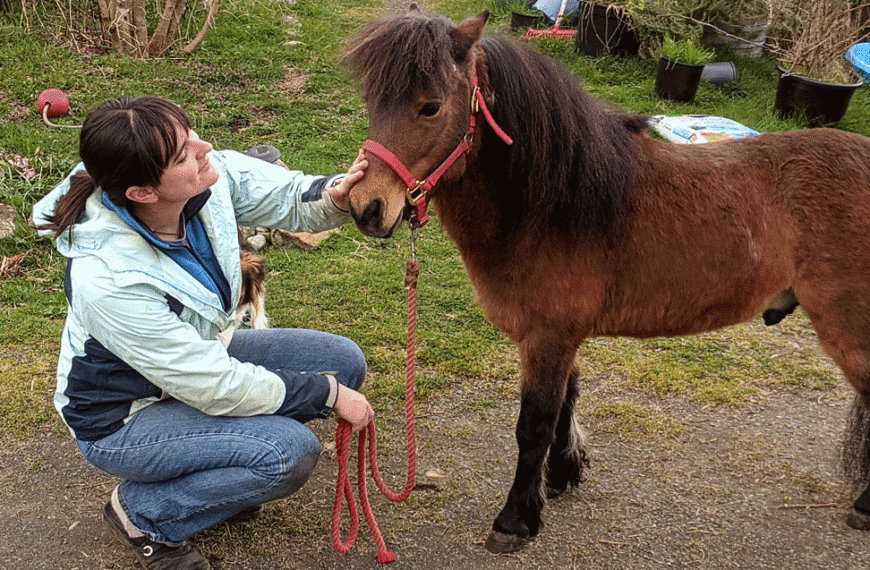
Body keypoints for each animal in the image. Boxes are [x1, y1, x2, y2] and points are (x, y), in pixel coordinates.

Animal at [344, 5, 870, 553]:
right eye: (373, 101)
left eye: (429, 107)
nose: (366, 208)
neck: (555, 201)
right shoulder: (560, 337)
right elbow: (565, 406)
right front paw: (559, 477)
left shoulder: (548, 336)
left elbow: (534, 425)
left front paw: (515, 519)